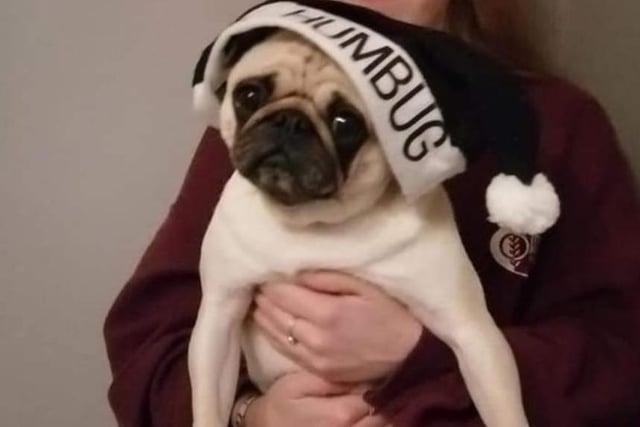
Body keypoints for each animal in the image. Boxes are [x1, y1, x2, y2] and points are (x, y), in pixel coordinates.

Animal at [188, 30, 528, 427]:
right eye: (249, 96)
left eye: (345, 123)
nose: (291, 121)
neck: (311, 220)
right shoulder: (219, 317)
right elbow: (208, 404)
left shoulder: (471, 332)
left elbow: (505, 410)